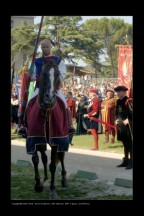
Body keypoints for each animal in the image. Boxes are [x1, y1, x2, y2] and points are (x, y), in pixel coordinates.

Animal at [23, 57, 75, 199]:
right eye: (44, 74)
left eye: (57, 75)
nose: (49, 98)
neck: (46, 110)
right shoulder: (33, 138)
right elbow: (36, 159)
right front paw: (38, 184)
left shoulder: (57, 140)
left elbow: (52, 165)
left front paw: (53, 191)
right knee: (44, 158)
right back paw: (45, 180)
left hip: (62, 138)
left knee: (61, 157)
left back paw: (64, 180)